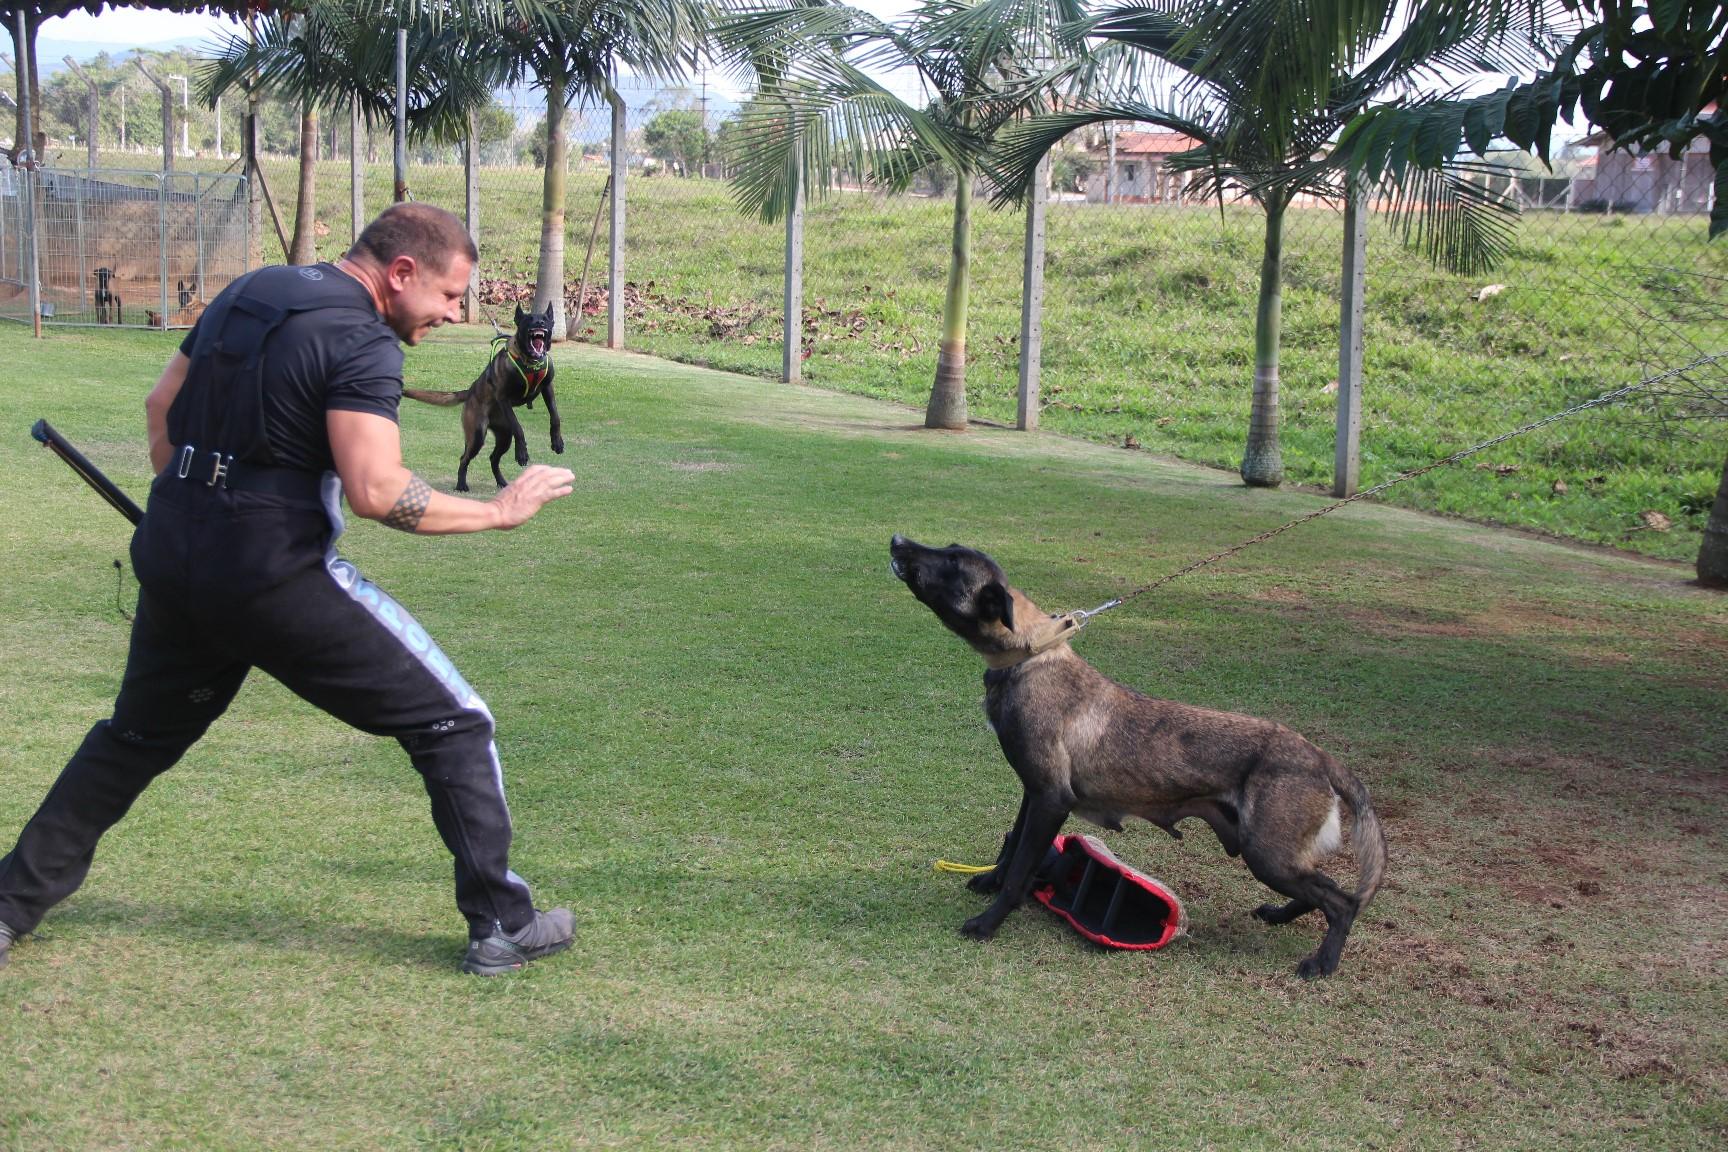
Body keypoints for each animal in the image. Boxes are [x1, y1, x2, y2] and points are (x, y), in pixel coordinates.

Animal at [406, 303, 563, 490]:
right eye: (529, 319)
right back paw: (461, 485)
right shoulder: (503, 397)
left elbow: (555, 417)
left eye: (545, 319)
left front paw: (557, 441)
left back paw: (502, 482)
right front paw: (522, 453)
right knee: (464, 458)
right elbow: (519, 427)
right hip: (477, 434)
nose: (539, 322)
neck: (530, 362)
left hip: (504, 436)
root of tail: (470, 391)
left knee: (493, 458)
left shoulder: (547, 388)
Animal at [891, 535, 1389, 981]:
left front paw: (987, 924)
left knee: (1342, 901)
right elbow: (1012, 851)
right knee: (1323, 893)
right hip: (1275, 856)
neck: (1030, 656)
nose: (897, 540)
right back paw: (1280, 917)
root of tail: (1319, 756)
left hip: (1268, 853)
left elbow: (1019, 874)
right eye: (949, 550)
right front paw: (990, 881)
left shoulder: (1051, 800)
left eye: (952, 563)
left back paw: (1323, 963)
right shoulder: (1032, 794)